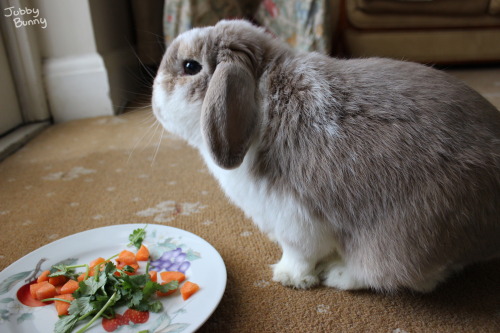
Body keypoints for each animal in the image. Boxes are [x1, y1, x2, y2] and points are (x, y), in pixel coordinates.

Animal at [152, 19, 500, 292]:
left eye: (190, 67)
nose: (154, 105)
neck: (259, 100)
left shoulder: (294, 219)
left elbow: (299, 254)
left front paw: (289, 277)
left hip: (401, 239)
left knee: (406, 275)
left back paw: (340, 275)